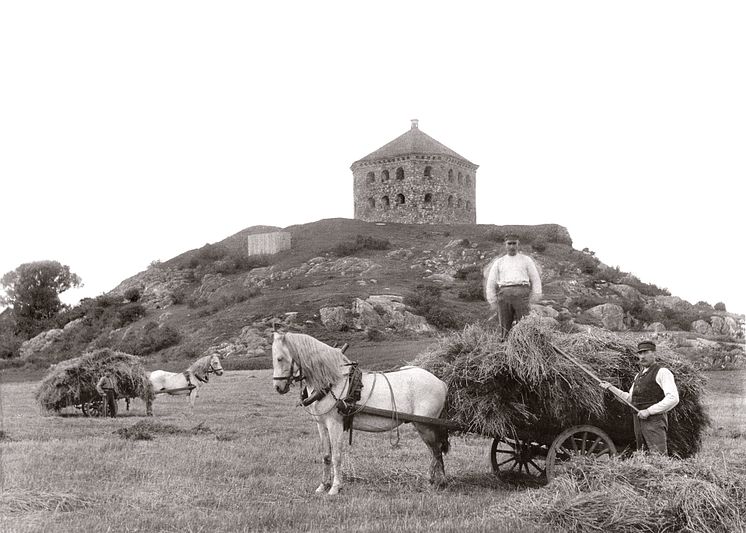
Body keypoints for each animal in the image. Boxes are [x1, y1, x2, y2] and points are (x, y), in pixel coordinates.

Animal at [272, 330, 448, 496]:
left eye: (280, 358)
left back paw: (434, 482)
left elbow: (336, 456)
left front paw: (335, 487)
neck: (332, 381)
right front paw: (323, 486)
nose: (278, 388)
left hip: (424, 425)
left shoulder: (335, 424)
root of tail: (441, 382)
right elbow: (326, 455)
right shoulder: (321, 425)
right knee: (435, 451)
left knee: (436, 452)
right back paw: (437, 481)